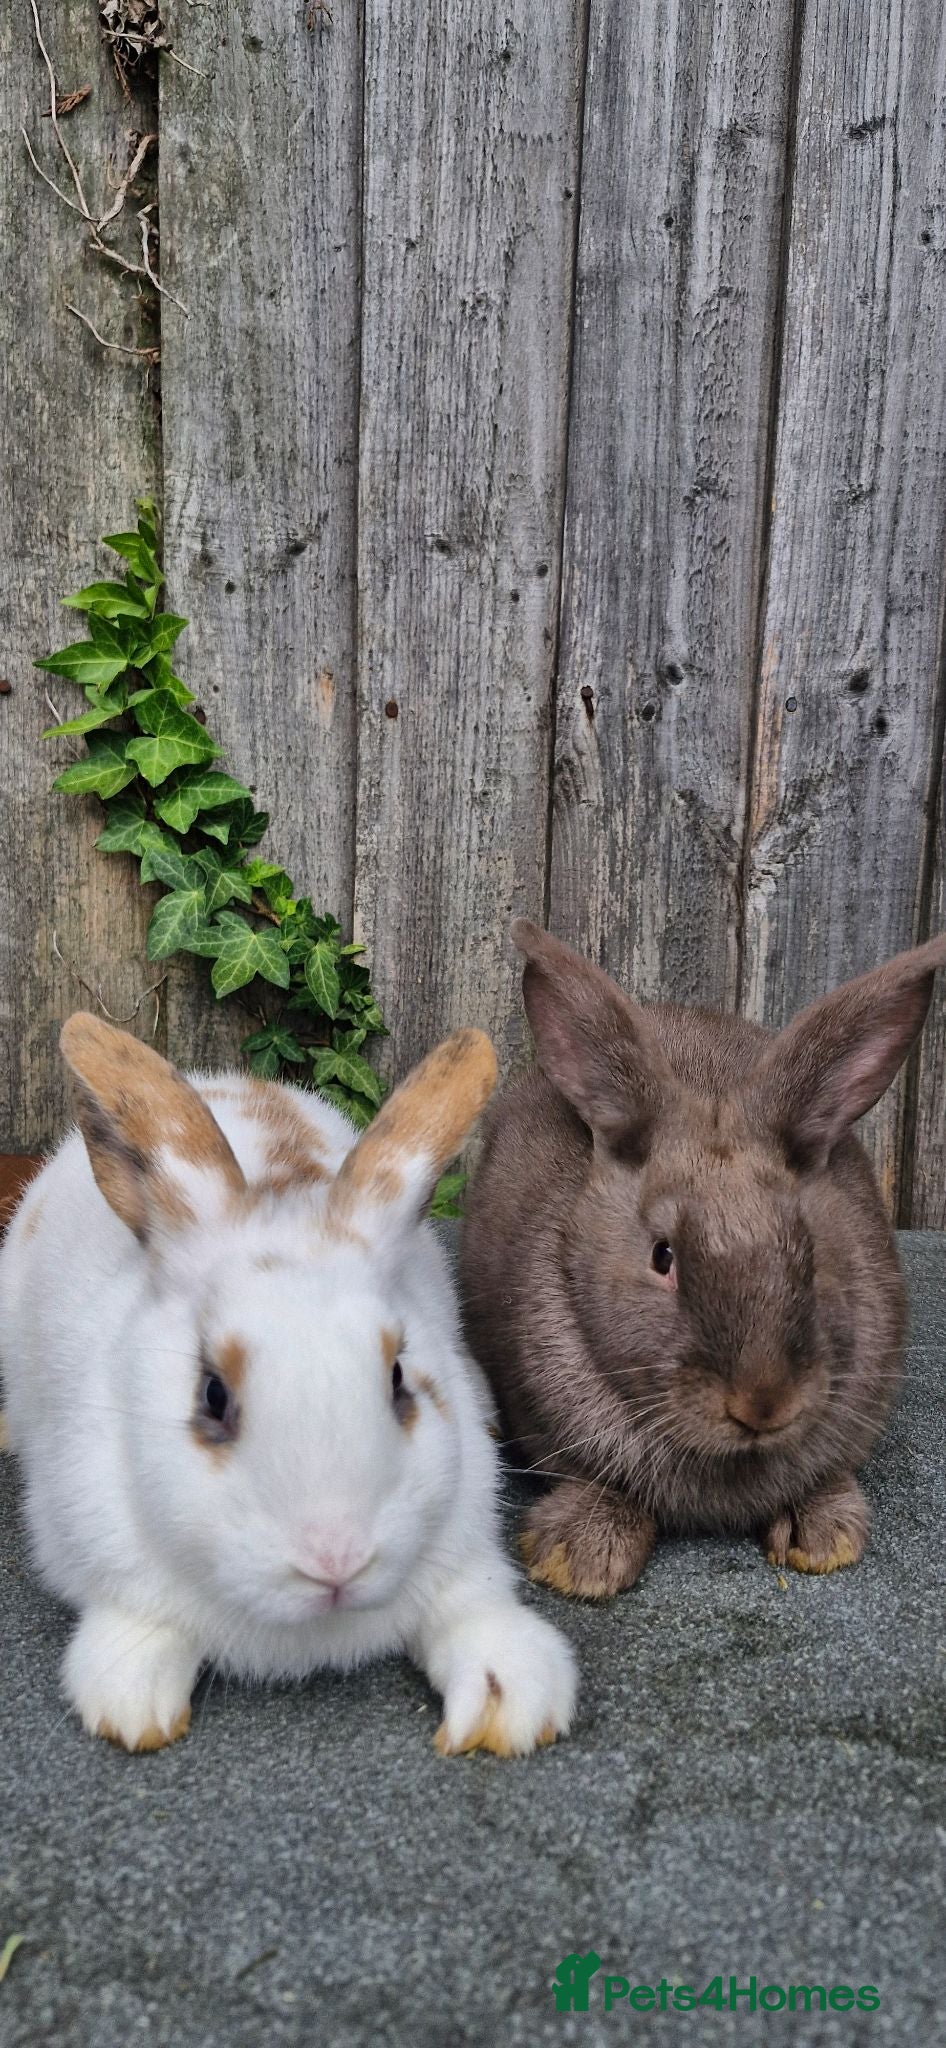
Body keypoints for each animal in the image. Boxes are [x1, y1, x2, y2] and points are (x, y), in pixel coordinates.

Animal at [0, 1013, 576, 1756]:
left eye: (398, 1378)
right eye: (212, 1394)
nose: (336, 1562)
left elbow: (471, 1608)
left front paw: (511, 1701)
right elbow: (139, 1626)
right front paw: (133, 1709)